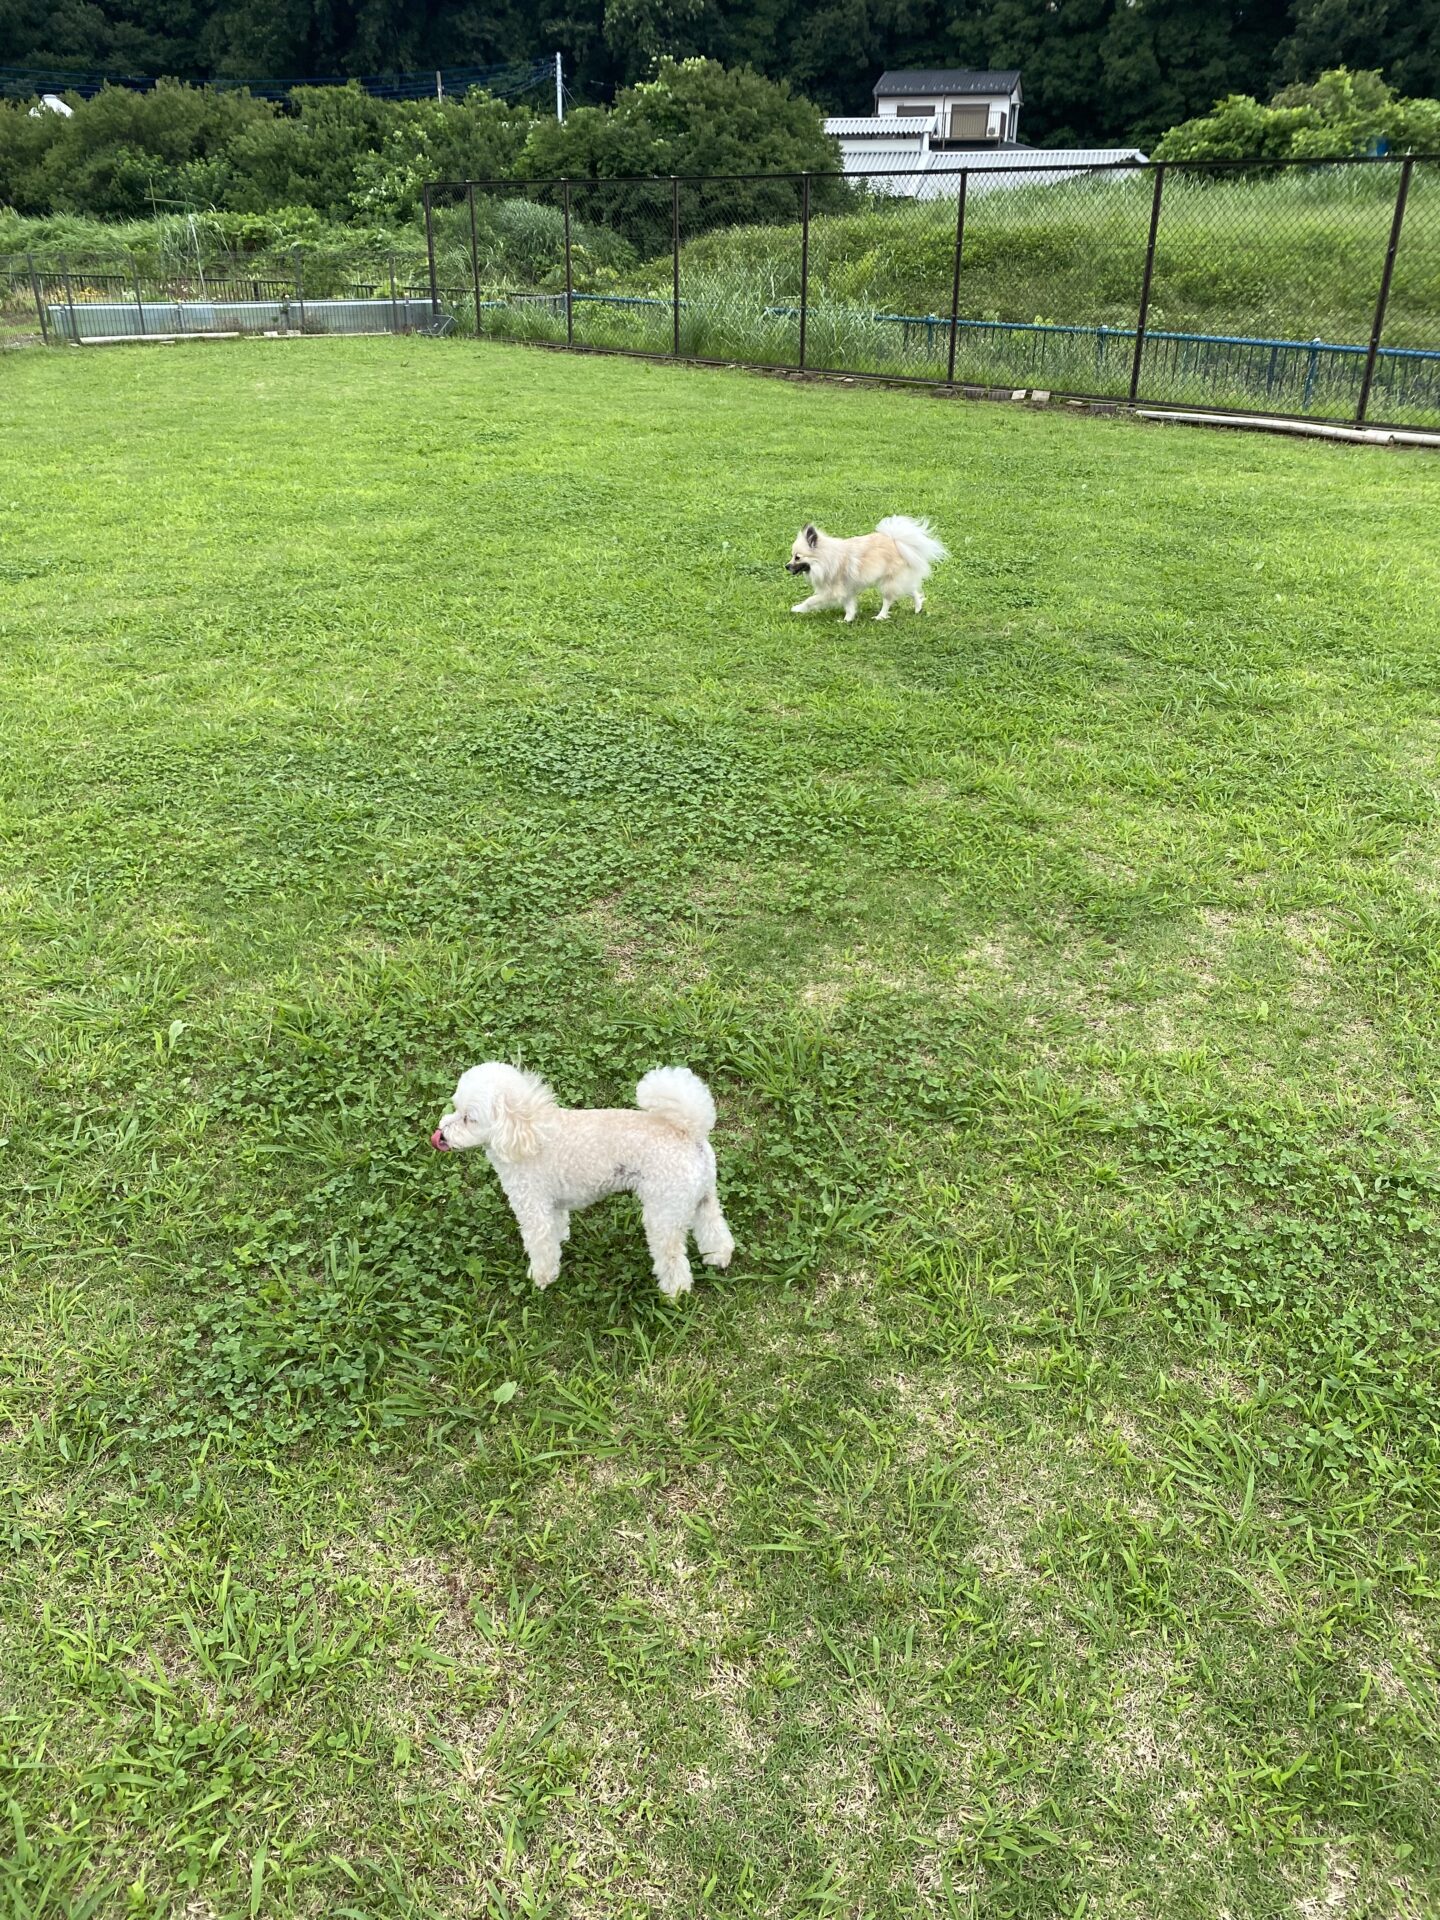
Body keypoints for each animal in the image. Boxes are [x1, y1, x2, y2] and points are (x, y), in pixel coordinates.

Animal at [431, 1063, 734, 1299]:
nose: (441, 1134)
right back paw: (718, 1256)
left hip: (664, 1209)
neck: (527, 1132)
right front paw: (561, 1241)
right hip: (701, 1193)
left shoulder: (533, 1205)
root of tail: (688, 1131)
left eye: (469, 1119)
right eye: (455, 1108)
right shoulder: (552, 1202)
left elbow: (541, 1244)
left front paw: (541, 1277)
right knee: (713, 1224)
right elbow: (556, 1228)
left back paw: (675, 1292)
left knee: (671, 1255)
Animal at [787, 515, 947, 622]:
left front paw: (798, 608)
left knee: (888, 600)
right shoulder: (846, 590)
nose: (786, 566)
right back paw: (918, 608)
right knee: (913, 591)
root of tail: (897, 541)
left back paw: (880, 616)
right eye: (792, 556)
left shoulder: (833, 591)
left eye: (797, 557)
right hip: (898, 580)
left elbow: (811, 600)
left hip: (888, 582)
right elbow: (849, 606)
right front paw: (847, 620)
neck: (826, 559)